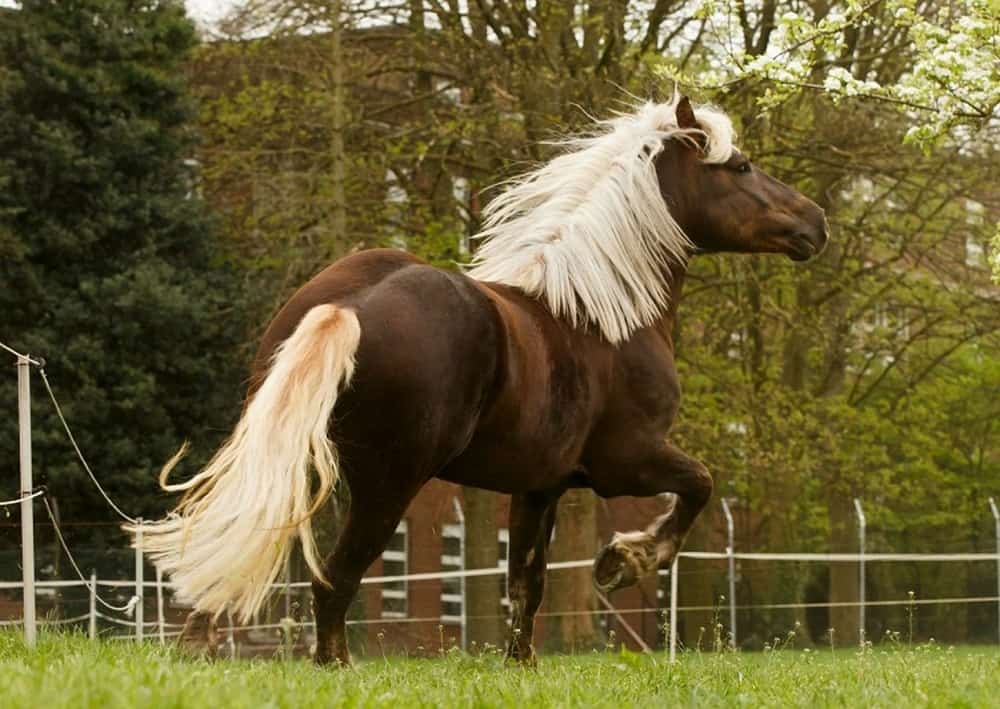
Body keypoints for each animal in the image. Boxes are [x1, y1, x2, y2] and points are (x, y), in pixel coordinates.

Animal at [129, 95, 827, 666]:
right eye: (740, 167)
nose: (816, 222)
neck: (599, 314)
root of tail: (349, 308)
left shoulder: (540, 486)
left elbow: (528, 580)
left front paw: (523, 663)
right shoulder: (627, 462)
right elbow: (699, 486)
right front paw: (625, 560)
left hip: (300, 465)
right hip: (387, 485)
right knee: (336, 578)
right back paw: (335, 665)